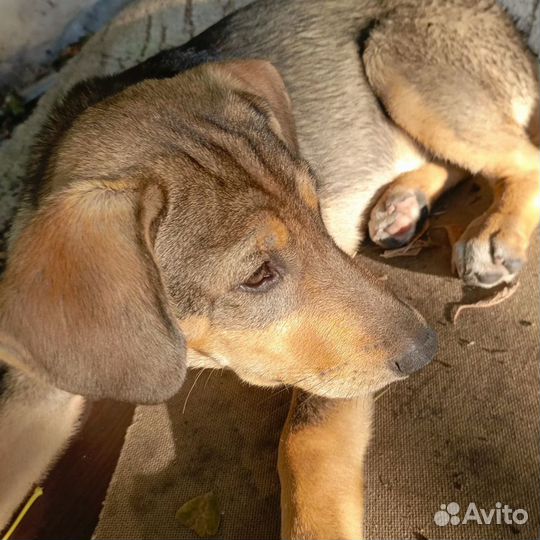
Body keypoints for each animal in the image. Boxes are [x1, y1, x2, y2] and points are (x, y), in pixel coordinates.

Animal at [1, 0, 536, 536]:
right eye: (257, 276)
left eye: (316, 211)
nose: (427, 350)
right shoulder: (35, 386)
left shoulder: (332, 376)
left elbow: (305, 439)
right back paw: (405, 203)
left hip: (393, 60)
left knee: (522, 157)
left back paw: (496, 232)